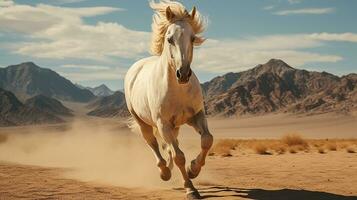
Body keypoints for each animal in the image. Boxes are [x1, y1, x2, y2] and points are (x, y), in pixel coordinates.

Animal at [124, 1, 213, 198]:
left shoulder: (196, 116)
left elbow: (207, 140)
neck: (179, 90)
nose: (183, 74)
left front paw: (193, 169)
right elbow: (179, 156)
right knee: (153, 144)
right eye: (169, 39)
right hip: (144, 122)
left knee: (170, 147)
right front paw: (190, 188)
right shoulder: (163, 123)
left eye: (193, 38)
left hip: (175, 126)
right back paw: (164, 171)